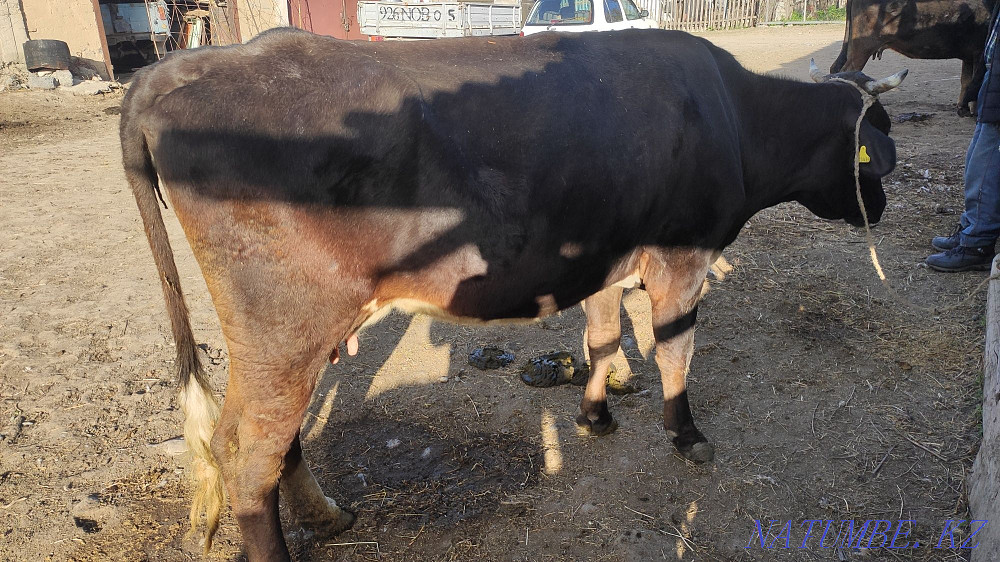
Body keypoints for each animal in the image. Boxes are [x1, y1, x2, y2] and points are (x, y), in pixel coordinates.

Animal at [119, 28, 905, 560]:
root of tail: (182, 70)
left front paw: (595, 415)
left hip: (290, 339)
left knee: (270, 443)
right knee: (246, 453)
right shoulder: (683, 254)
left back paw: (326, 515)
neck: (734, 116)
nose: (884, 205)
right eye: (875, 149)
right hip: (284, 327)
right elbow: (675, 353)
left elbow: (602, 338)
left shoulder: (603, 258)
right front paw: (686, 435)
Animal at [830, 0, 995, 116]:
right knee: (848, 71)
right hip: (863, 47)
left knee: (836, 68)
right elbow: (976, 82)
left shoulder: (969, 55)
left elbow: (966, 81)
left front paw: (963, 108)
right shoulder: (979, 51)